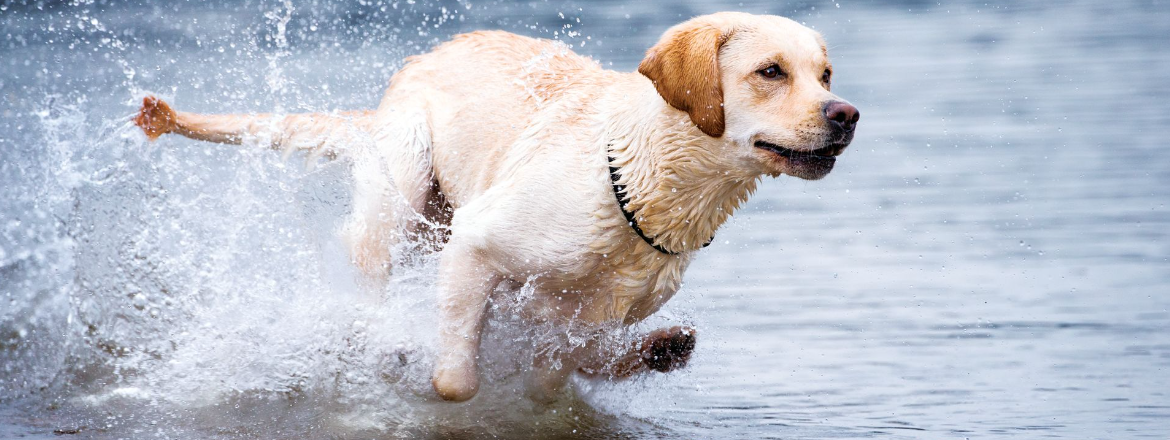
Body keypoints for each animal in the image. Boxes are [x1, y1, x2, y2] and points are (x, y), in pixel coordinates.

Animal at [136, 11, 861, 402]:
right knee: (367, 276)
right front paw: (434, 369)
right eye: (770, 71)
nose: (846, 114)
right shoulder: (475, 247)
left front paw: (649, 351)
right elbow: (458, 380)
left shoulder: (591, 315)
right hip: (400, 196)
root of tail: (422, 58)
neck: (643, 180)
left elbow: (562, 368)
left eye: (824, 74)